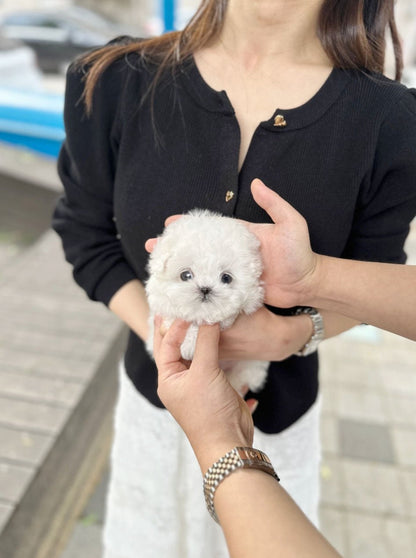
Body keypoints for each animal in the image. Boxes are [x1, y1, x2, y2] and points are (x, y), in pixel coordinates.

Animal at [146, 208, 270, 396]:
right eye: (185, 275)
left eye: (226, 278)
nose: (205, 289)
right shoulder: (161, 303)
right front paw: (188, 340)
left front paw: (190, 342)